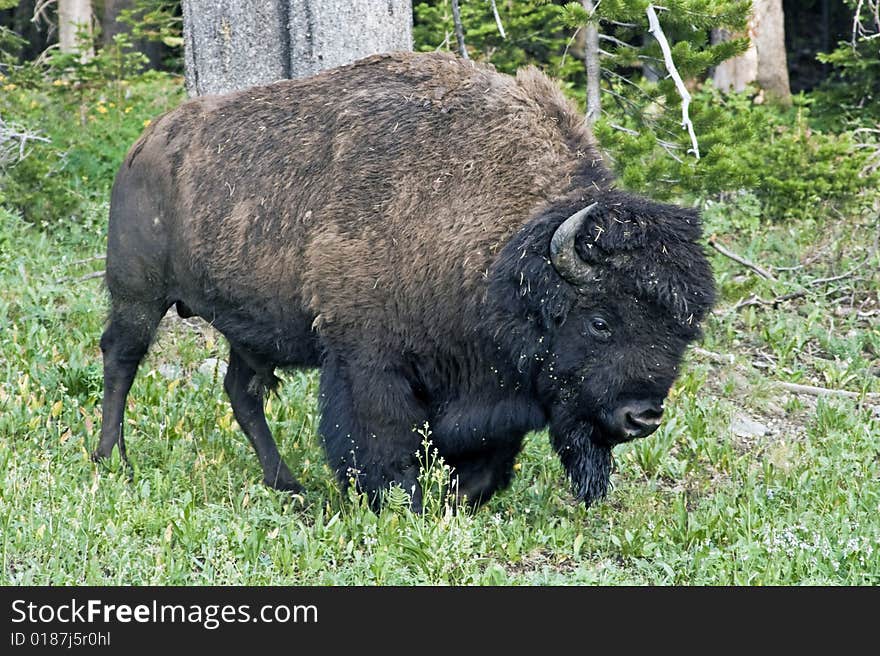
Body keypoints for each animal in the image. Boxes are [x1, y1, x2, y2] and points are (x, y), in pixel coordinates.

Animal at [94, 52, 716, 512]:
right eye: (601, 321)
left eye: (684, 333)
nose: (643, 416)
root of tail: (146, 142)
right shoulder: (368, 362)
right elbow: (384, 443)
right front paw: (399, 504)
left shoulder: (495, 385)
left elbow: (484, 461)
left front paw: (458, 500)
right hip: (138, 294)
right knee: (121, 361)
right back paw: (110, 460)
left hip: (248, 329)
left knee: (242, 393)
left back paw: (286, 484)